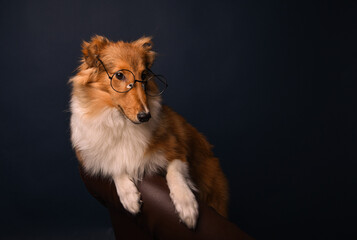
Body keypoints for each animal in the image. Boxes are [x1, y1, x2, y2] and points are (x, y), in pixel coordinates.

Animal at [69, 35, 228, 229]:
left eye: (144, 75)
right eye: (119, 75)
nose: (145, 116)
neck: (122, 122)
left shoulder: (176, 148)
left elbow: (174, 171)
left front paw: (186, 205)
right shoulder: (94, 156)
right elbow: (114, 165)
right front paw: (129, 196)